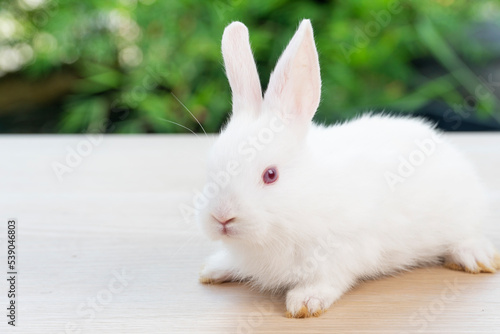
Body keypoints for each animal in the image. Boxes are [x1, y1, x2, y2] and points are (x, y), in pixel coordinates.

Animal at [197, 18, 498, 318]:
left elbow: (327, 280)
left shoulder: (341, 252)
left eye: (270, 175)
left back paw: (477, 259)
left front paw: (306, 303)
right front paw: (214, 269)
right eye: (210, 168)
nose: (222, 218)